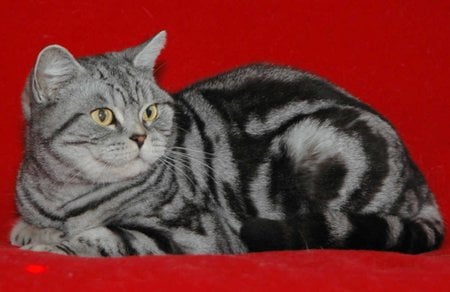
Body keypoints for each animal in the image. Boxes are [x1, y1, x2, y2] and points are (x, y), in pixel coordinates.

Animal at [8, 30, 444, 256]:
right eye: (103, 116)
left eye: (150, 111)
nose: (140, 137)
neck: (65, 196)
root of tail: (419, 181)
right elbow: (34, 225)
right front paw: (31, 232)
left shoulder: (192, 233)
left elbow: (103, 239)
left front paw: (55, 246)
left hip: (316, 144)